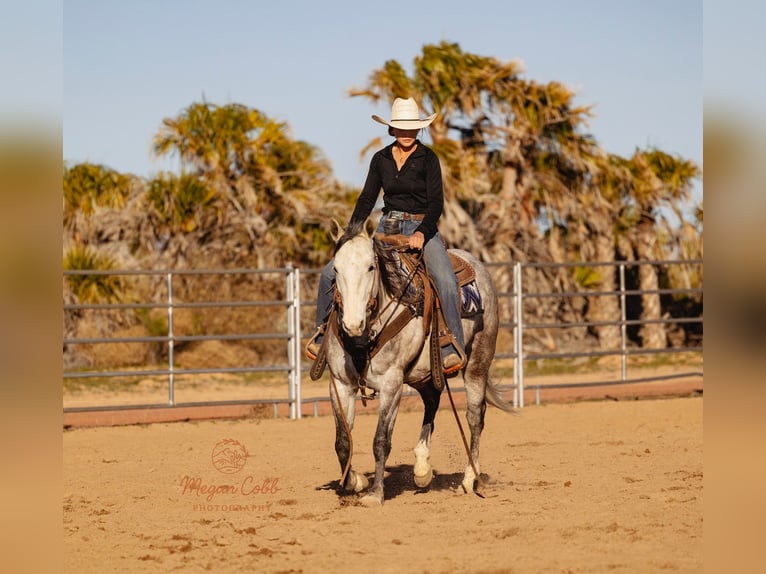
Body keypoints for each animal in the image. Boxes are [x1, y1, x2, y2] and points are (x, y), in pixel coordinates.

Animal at [321, 220, 514, 506]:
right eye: (336, 268)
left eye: (370, 266)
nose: (352, 324)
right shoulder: (341, 383)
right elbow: (342, 441)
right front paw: (355, 482)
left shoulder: (391, 384)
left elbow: (381, 440)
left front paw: (375, 493)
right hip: (423, 372)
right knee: (432, 400)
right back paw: (422, 469)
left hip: (477, 363)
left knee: (474, 417)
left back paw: (469, 479)